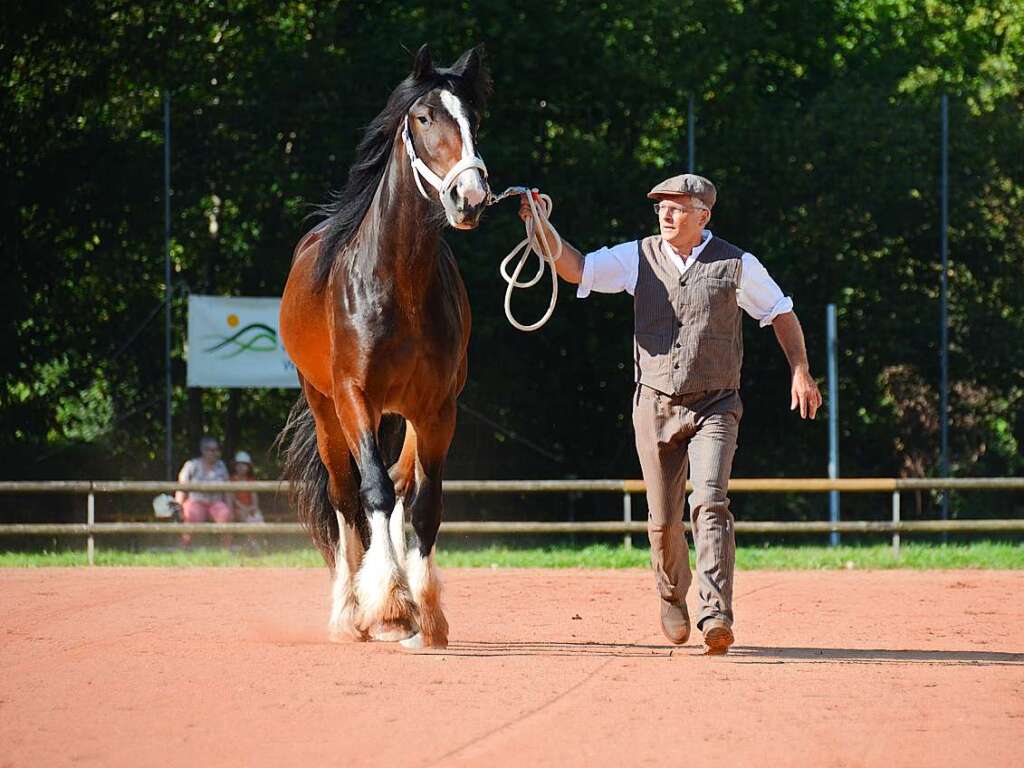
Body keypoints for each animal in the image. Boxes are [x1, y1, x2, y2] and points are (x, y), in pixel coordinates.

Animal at [276, 45, 491, 651]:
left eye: (474, 118)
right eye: (422, 118)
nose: (470, 198)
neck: (398, 282)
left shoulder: (438, 409)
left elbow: (425, 503)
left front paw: (427, 614)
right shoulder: (355, 399)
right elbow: (369, 491)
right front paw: (390, 601)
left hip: (402, 417)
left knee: (398, 485)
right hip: (327, 410)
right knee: (347, 496)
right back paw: (350, 611)